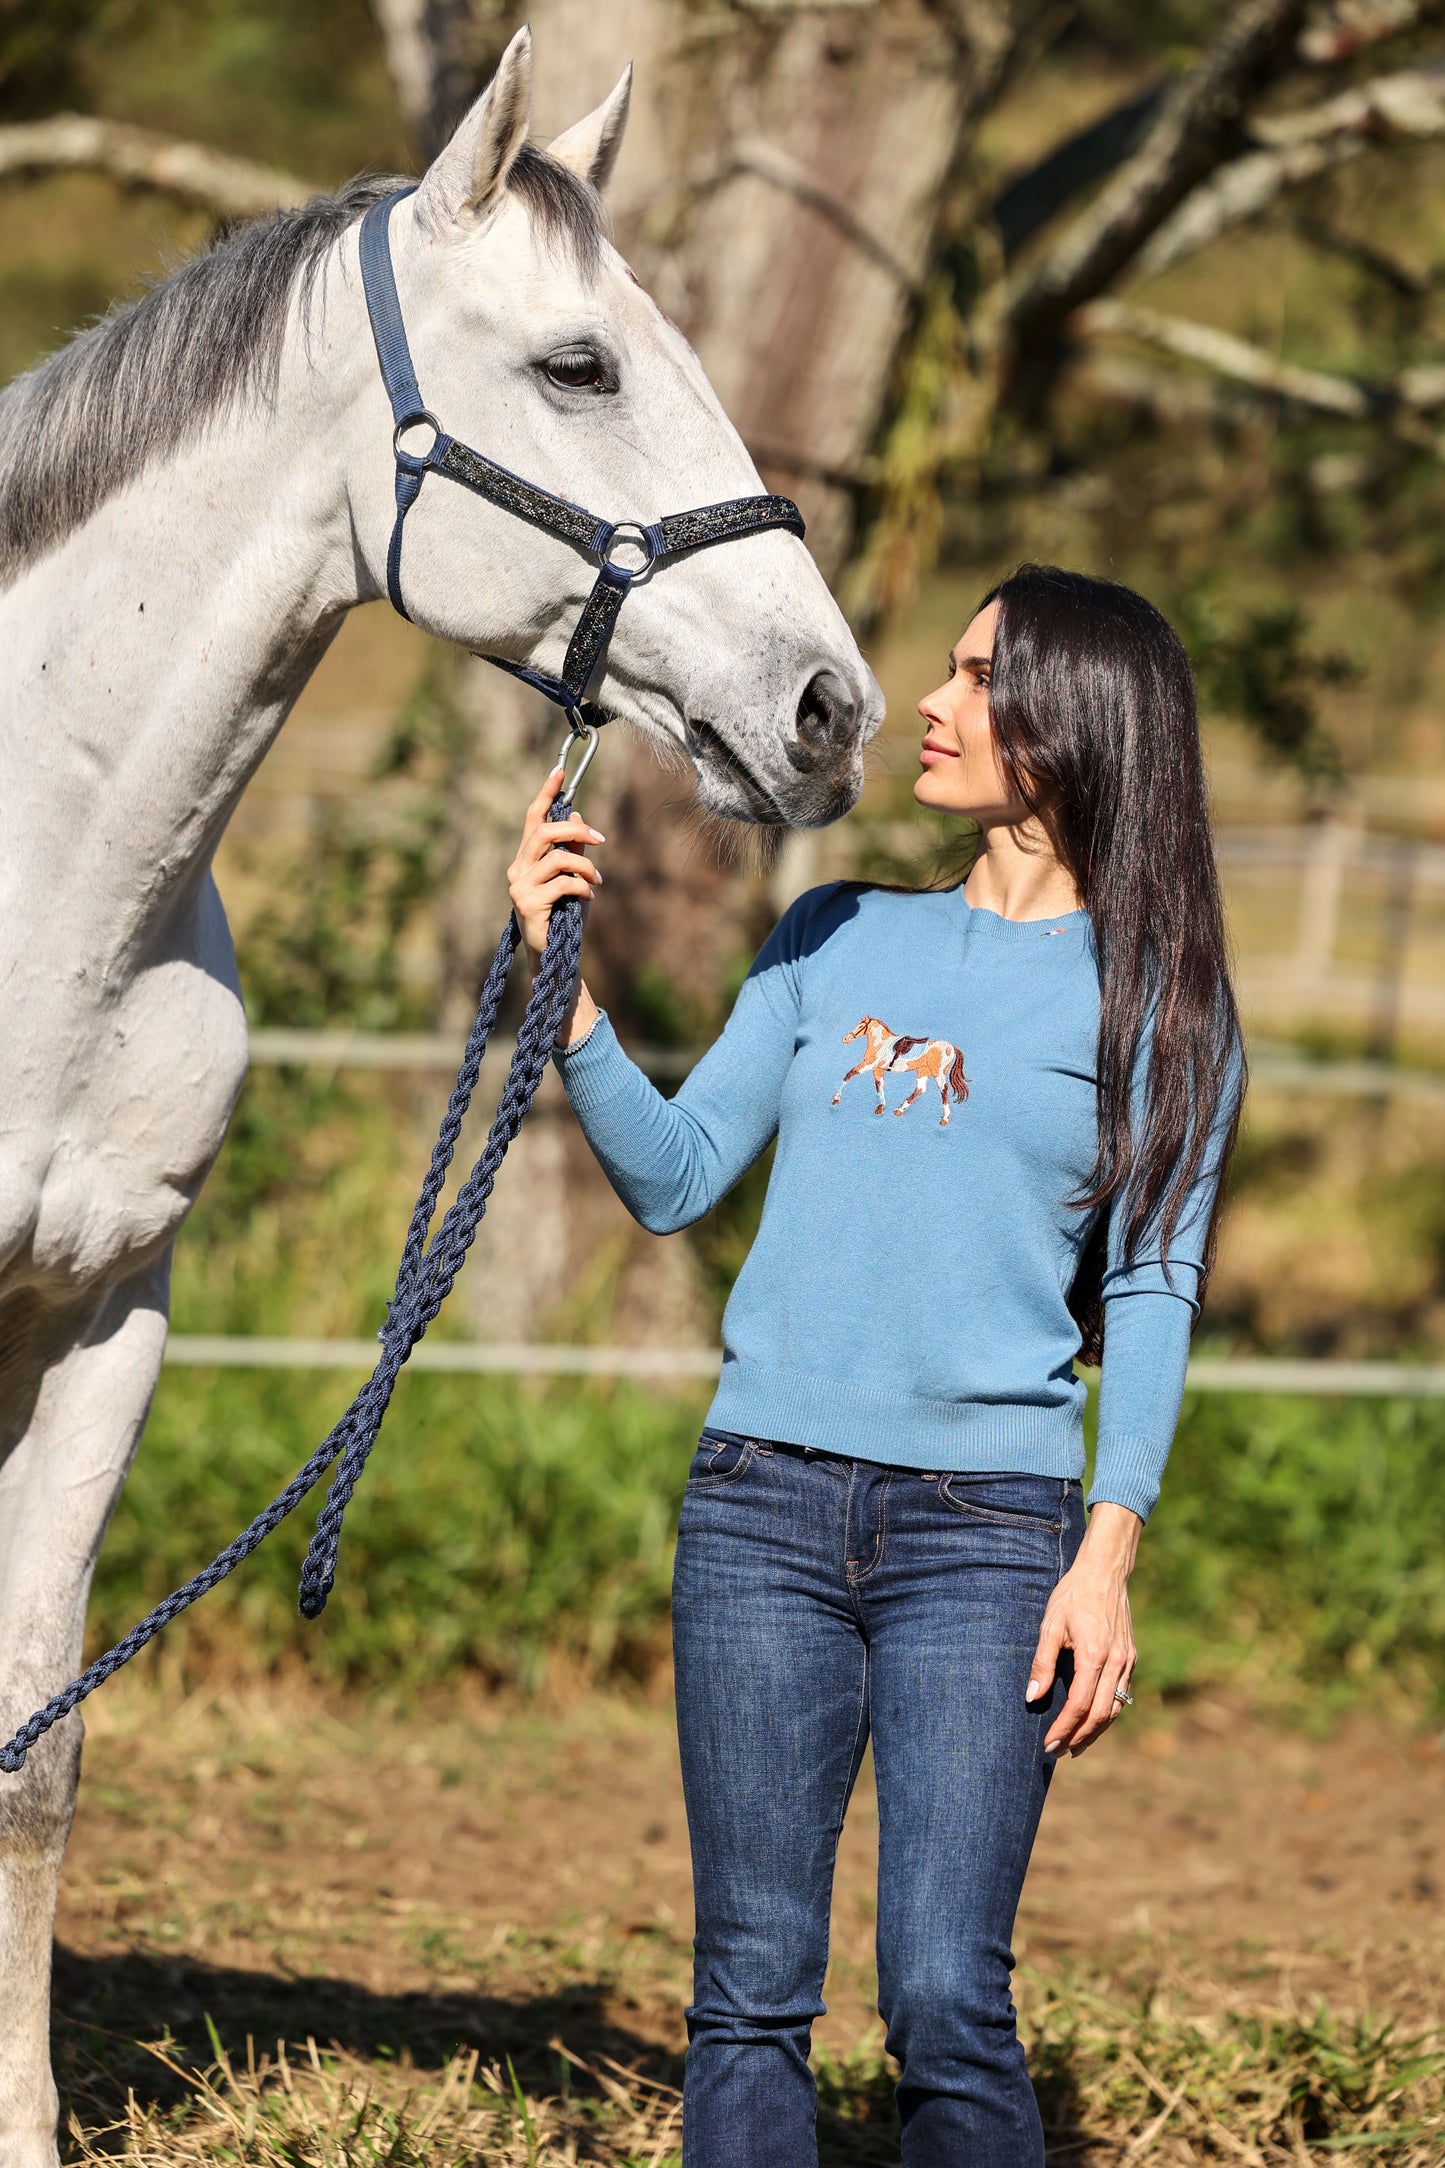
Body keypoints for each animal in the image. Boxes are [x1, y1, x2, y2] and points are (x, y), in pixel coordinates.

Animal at [832, 1016, 970, 1126]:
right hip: (923, 1071)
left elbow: (849, 1074)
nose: (846, 1039)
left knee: (943, 1090)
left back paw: (945, 1119)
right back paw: (900, 1110)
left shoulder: (868, 1065)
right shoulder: (877, 1069)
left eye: (861, 1026)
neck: (881, 1043)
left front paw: (836, 1099)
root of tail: (951, 1047)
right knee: (920, 1089)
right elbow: (879, 1085)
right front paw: (881, 1107)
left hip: (938, 1073)